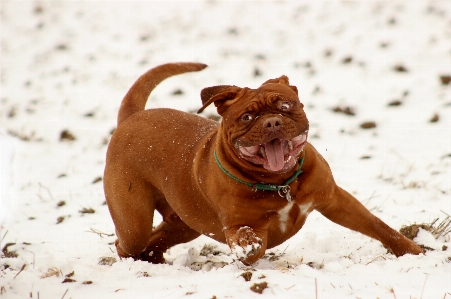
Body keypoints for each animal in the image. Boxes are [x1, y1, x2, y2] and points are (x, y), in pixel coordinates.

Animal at [103, 62, 424, 266]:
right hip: (134, 221)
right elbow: (250, 240)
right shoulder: (238, 224)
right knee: (129, 241)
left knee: (158, 238)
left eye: (285, 106)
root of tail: (132, 117)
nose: (271, 122)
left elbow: (378, 226)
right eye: (247, 117)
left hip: (183, 224)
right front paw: (249, 247)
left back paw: (153, 260)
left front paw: (412, 251)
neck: (281, 183)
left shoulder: (336, 201)